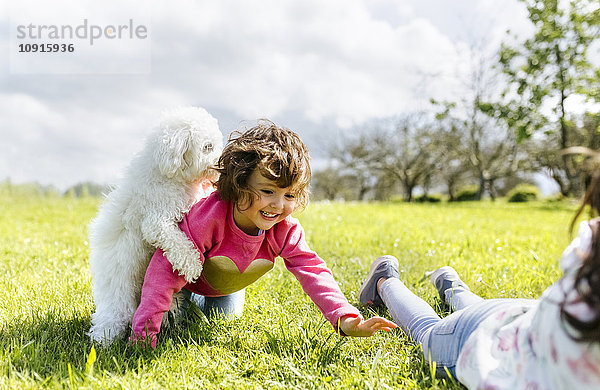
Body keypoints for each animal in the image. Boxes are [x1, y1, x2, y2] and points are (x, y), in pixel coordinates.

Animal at [86, 106, 223, 344]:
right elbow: (178, 243)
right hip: (119, 302)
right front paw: (193, 265)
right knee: (111, 321)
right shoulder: (157, 220)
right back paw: (103, 341)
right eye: (208, 147)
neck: (168, 172)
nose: (222, 161)